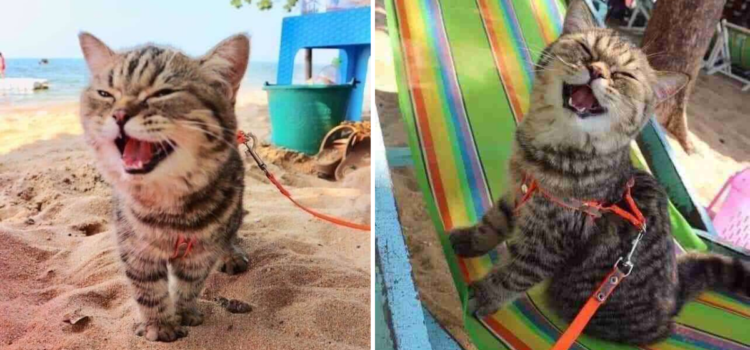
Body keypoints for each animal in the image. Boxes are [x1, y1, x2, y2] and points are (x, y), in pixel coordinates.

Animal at [79, 33, 251, 342]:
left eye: (162, 93)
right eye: (105, 94)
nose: (119, 114)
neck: (168, 202)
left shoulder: (200, 253)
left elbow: (190, 283)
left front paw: (184, 312)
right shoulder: (135, 249)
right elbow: (148, 290)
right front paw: (159, 325)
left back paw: (231, 253)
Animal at [450, 0, 748, 344]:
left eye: (623, 75)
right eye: (586, 50)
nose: (597, 71)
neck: (547, 148)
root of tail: (674, 296)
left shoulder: (551, 241)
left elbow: (515, 275)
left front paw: (483, 295)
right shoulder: (516, 193)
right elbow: (492, 224)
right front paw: (468, 241)